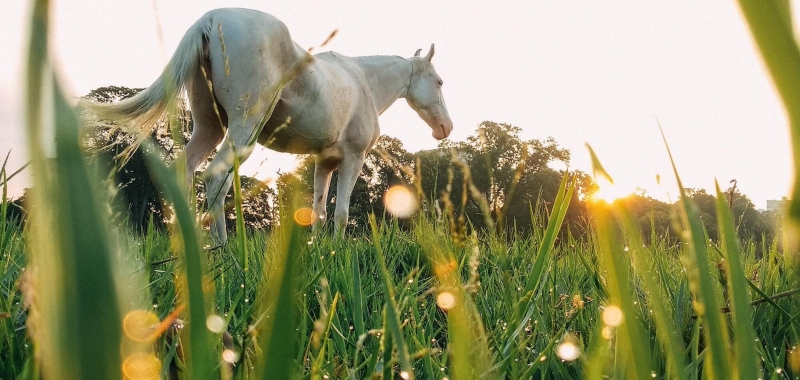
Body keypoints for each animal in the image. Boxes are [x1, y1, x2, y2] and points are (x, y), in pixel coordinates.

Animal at [86, 8, 454, 243]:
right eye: (439, 82)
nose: (445, 128)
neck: (363, 81)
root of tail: (210, 19)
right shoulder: (353, 157)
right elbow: (341, 213)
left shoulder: (325, 162)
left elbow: (319, 211)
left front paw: (320, 253)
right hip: (242, 129)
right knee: (215, 177)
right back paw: (223, 249)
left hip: (209, 128)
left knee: (185, 172)